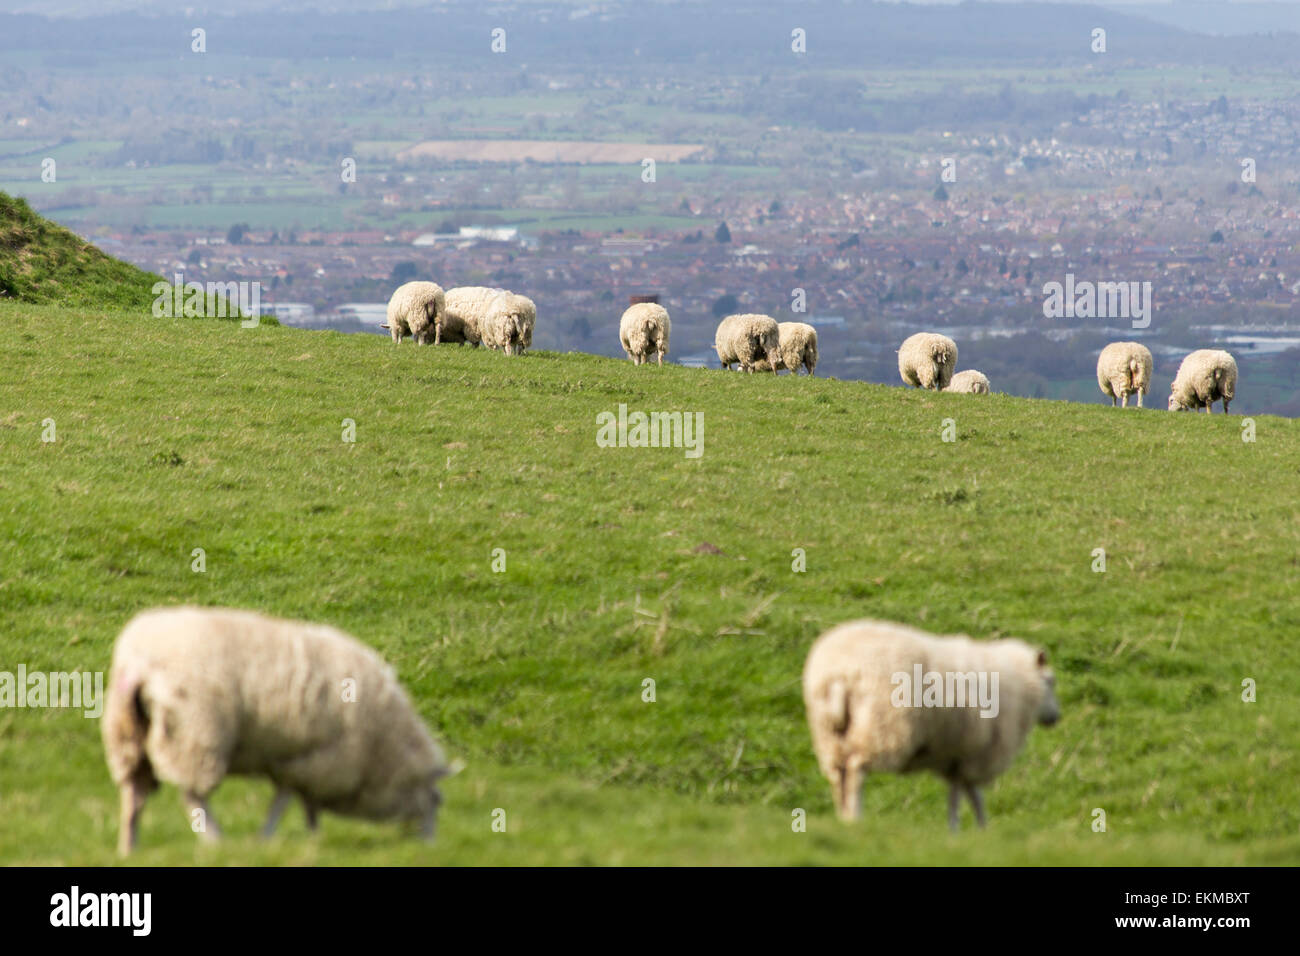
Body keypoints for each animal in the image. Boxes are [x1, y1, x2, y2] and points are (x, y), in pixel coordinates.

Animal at [100, 608, 452, 858]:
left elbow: (301, 803)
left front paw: (312, 839)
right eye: (435, 801)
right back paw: (216, 841)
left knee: (134, 795)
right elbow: (286, 802)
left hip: (127, 734)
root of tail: (138, 665)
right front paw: (271, 838)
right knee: (192, 796)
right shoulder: (314, 760)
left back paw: (129, 849)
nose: (430, 848)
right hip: (196, 732)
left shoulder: (301, 762)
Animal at [795, 621, 1060, 832]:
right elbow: (973, 796)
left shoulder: (956, 757)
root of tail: (838, 675)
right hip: (881, 728)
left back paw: (843, 818)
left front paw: (962, 831)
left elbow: (959, 796)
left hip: (830, 735)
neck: (1020, 684)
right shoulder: (975, 753)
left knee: (838, 776)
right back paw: (855, 818)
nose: (1056, 717)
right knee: (856, 772)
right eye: (1050, 681)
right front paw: (979, 831)